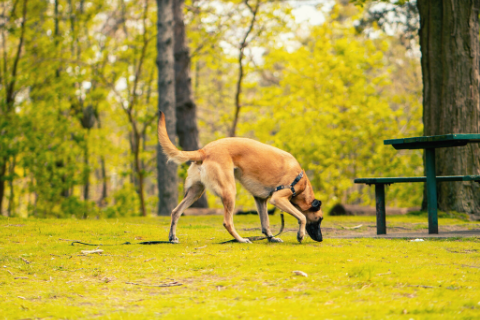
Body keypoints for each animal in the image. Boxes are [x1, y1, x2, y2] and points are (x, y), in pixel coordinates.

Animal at [158, 112, 322, 242]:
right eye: (319, 219)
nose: (320, 239)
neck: (301, 181)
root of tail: (203, 150)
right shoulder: (278, 198)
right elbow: (302, 216)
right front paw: (300, 235)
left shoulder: (261, 200)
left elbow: (265, 223)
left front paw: (271, 238)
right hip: (229, 191)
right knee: (227, 222)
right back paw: (241, 240)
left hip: (195, 192)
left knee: (175, 212)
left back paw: (172, 237)